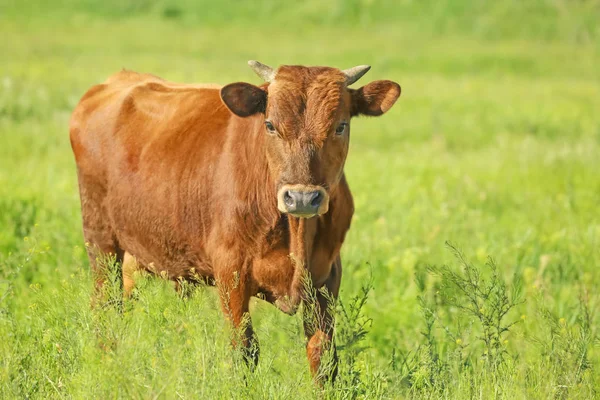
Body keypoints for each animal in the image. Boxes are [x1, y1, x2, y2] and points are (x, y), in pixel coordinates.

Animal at [69, 61, 398, 382]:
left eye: (341, 126)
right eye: (270, 125)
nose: (302, 198)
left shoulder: (327, 276)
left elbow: (323, 355)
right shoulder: (231, 272)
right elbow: (244, 350)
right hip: (100, 241)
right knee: (104, 305)